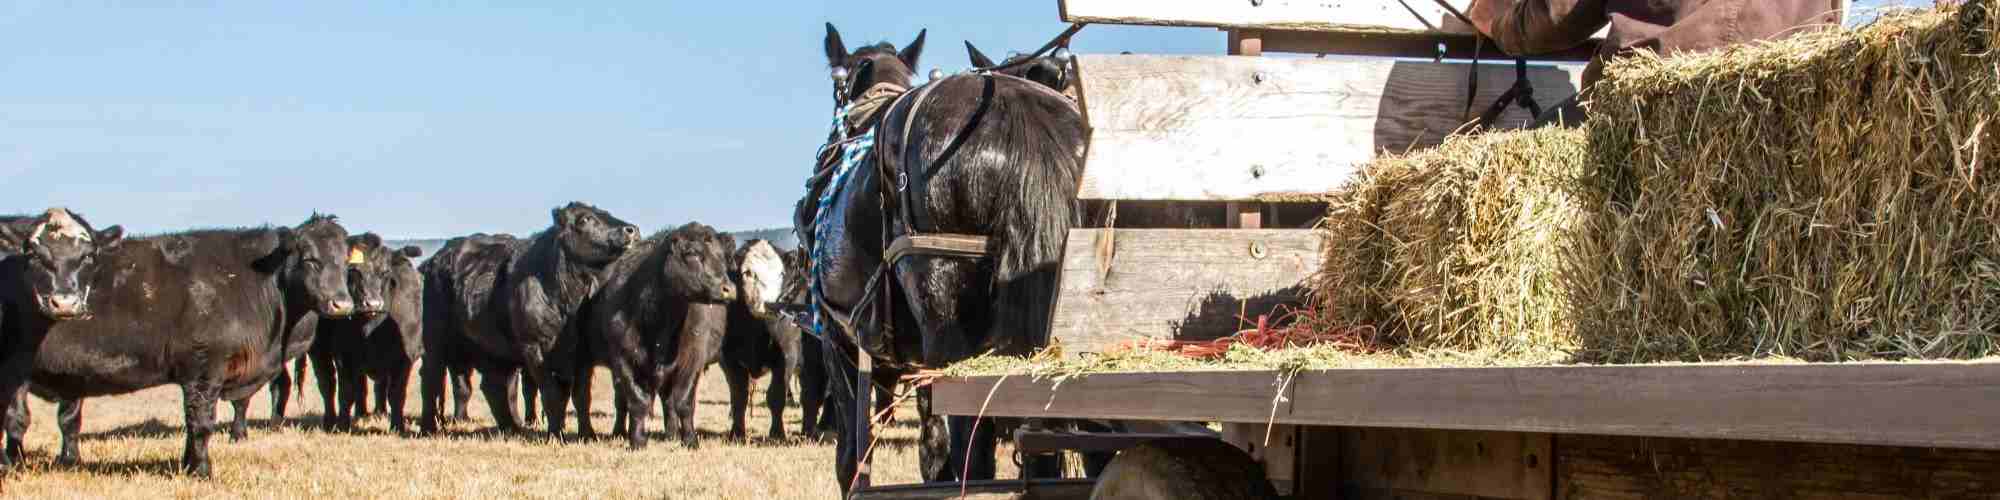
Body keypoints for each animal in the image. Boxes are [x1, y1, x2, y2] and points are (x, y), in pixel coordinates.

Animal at [2, 215, 352, 476]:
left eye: (345, 261)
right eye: (310, 259)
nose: (343, 303)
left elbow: (193, 421)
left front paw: (187, 465)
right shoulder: (205, 368)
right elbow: (201, 422)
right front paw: (202, 471)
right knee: (15, 418)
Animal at [588, 223, 740, 450]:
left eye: (722, 257)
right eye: (692, 253)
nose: (728, 289)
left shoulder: (692, 360)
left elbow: (684, 402)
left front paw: (690, 441)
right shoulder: (622, 358)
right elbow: (637, 401)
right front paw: (637, 441)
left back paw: (673, 434)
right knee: (625, 401)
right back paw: (623, 432)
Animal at [796, 22, 1088, 492]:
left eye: (838, 88)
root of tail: (1019, 119)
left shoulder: (839, 343)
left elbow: (854, 461)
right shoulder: (913, 367)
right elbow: (932, 454)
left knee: (974, 445)